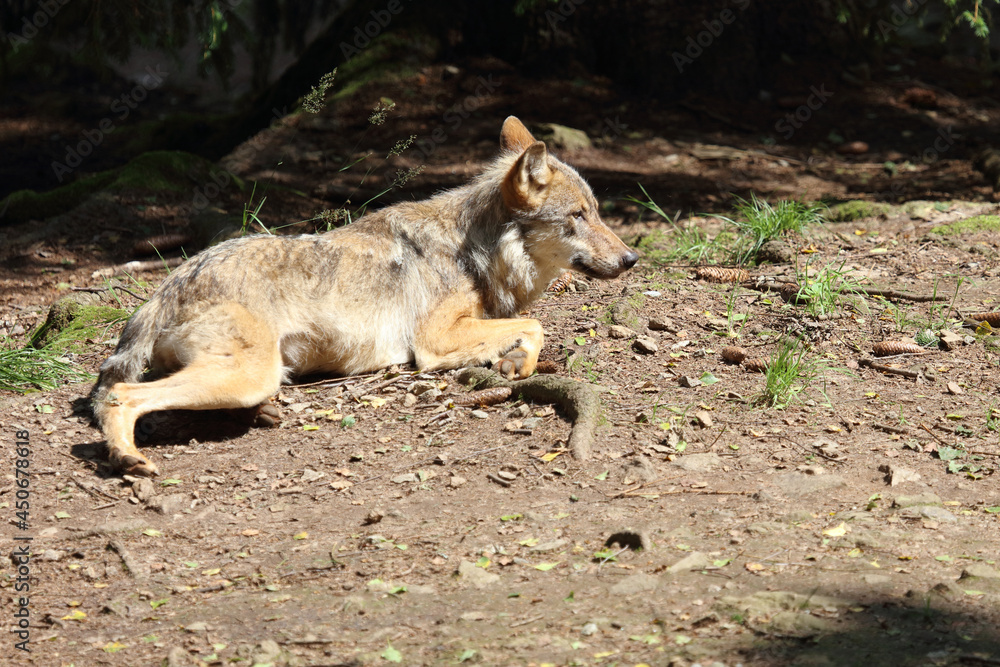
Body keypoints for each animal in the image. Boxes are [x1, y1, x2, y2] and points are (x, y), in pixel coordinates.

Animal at [89, 116, 638, 476]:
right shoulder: (435, 341)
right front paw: (518, 362)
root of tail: (169, 283)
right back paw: (128, 457)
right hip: (247, 374)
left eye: (597, 211)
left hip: (252, 374)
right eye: (579, 216)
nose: (632, 258)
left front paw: (516, 360)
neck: (474, 248)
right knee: (123, 395)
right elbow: (536, 324)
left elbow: (533, 326)